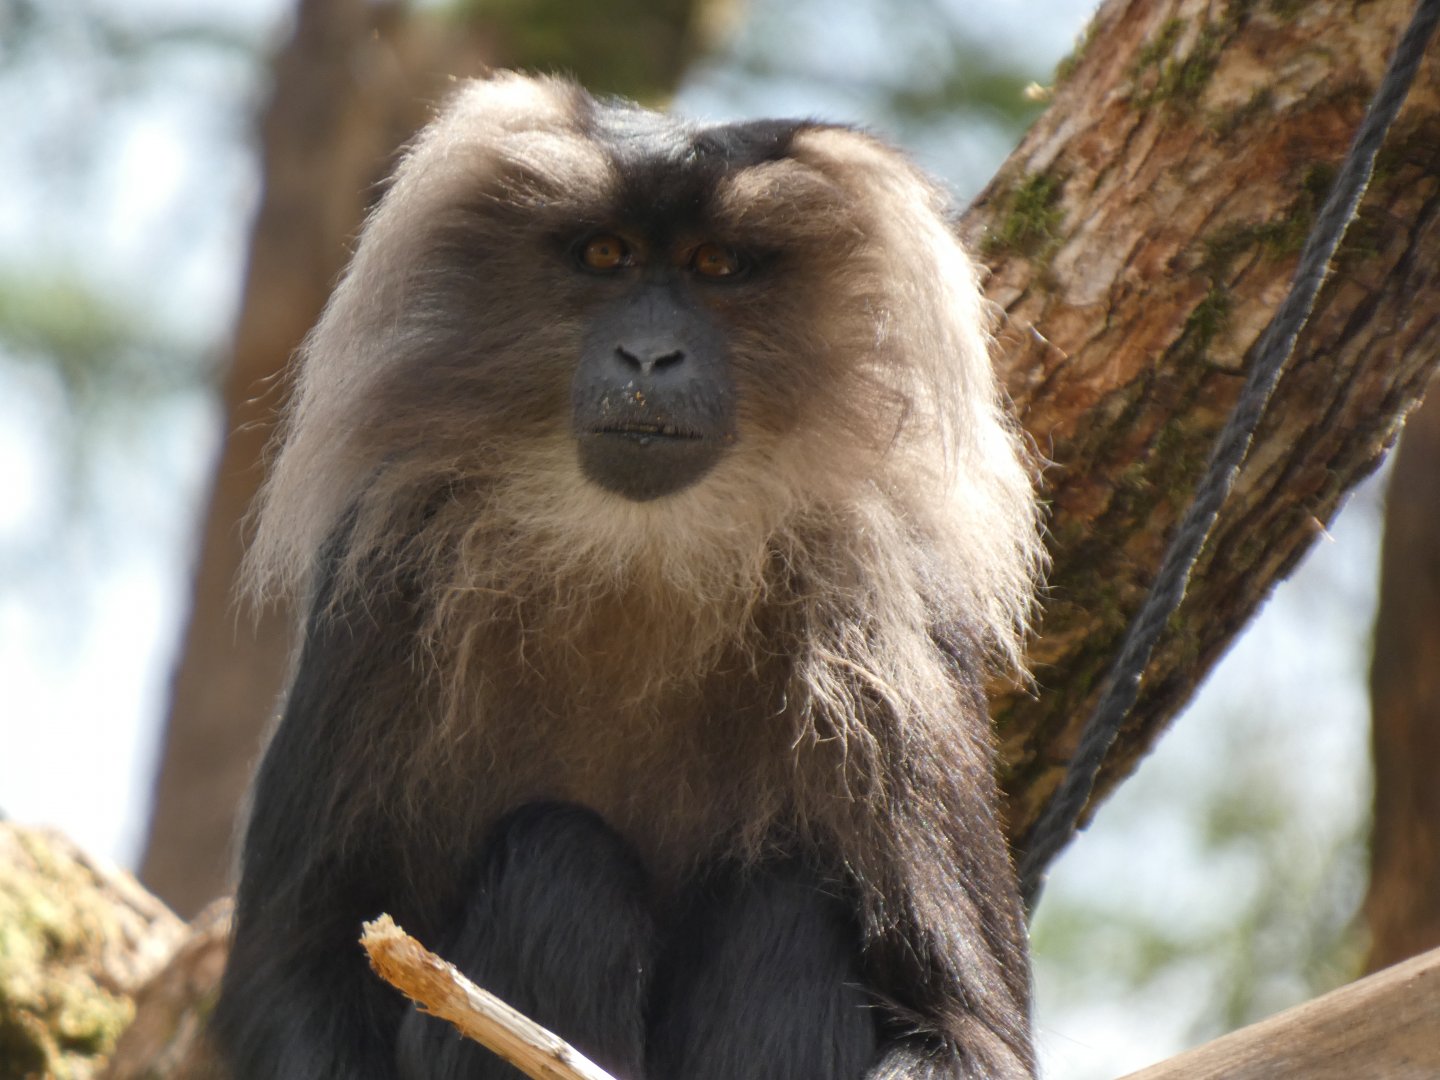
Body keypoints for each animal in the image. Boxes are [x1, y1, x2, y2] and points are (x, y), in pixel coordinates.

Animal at [212, 72, 1045, 1080]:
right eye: (605, 254)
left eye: (716, 265)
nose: (649, 357)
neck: (641, 548)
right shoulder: (380, 587)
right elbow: (293, 967)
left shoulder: (897, 636)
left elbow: (968, 1029)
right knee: (561, 856)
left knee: (788, 900)